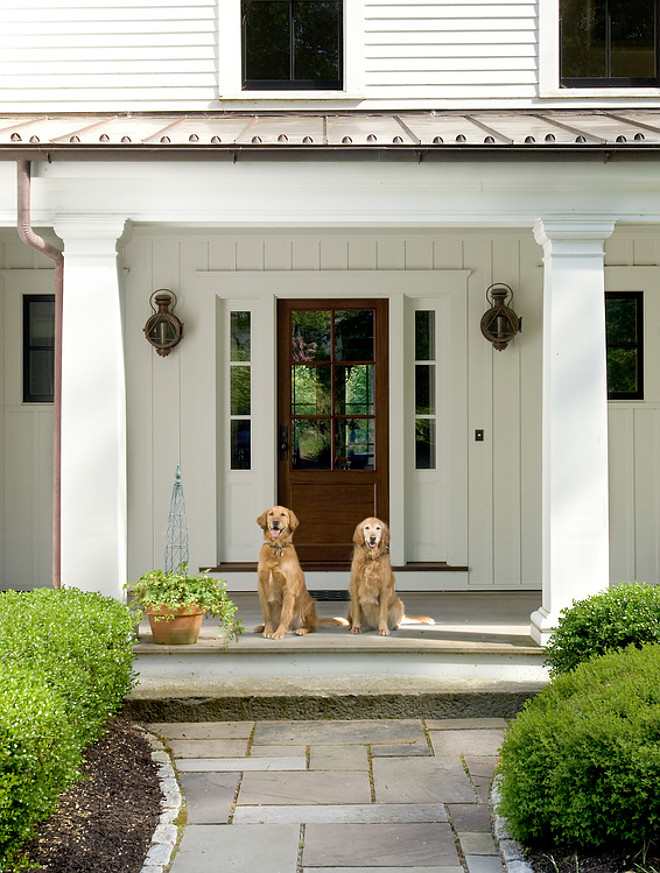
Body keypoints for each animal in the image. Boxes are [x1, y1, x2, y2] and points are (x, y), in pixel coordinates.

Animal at [254, 504, 348, 640]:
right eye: (271, 514)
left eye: (283, 514)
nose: (275, 521)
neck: (276, 549)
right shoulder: (262, 589)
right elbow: (266, 615)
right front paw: (268, 630)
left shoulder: (288, 589)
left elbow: (284, 615)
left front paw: (279, 633)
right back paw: (260, 627)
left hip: (307, 606)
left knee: (311, 628)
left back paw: (301, 630)